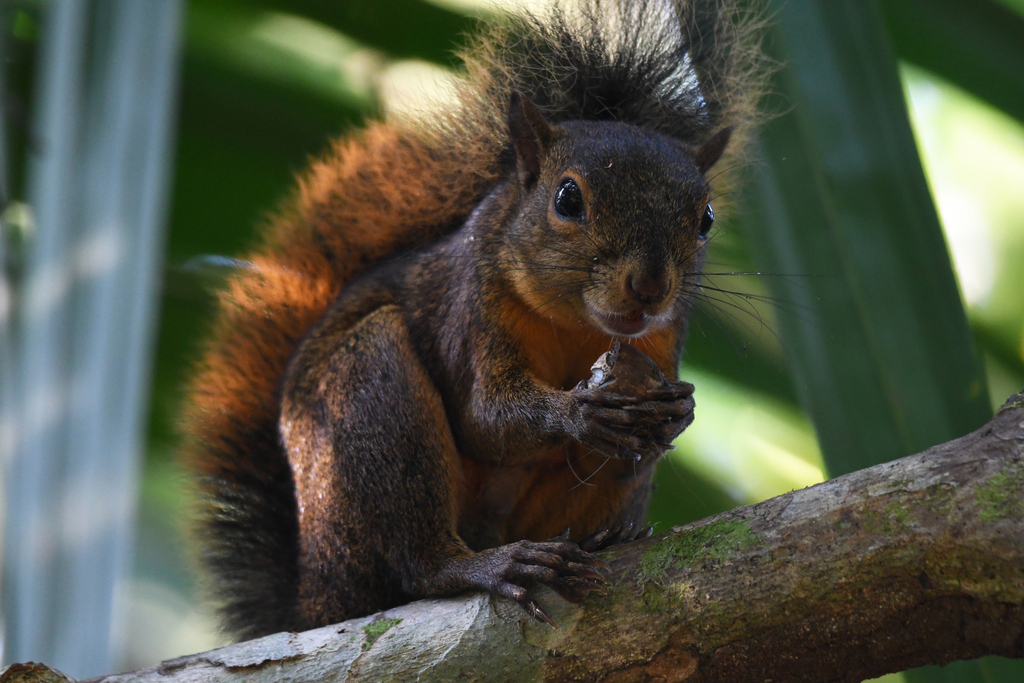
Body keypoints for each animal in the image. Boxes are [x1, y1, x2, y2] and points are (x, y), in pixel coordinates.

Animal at [184, 0, 765, 643]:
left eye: (706, 218)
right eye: (567, 199)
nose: (650, 288)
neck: (578, 324)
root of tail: (314, 601)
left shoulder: (660, 340)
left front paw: (677, 413)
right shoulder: (471, 308)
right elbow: (484, 417)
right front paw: (578, 412)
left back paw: (605, 538)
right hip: (366, 401)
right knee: (418, 564)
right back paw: (484, 564)